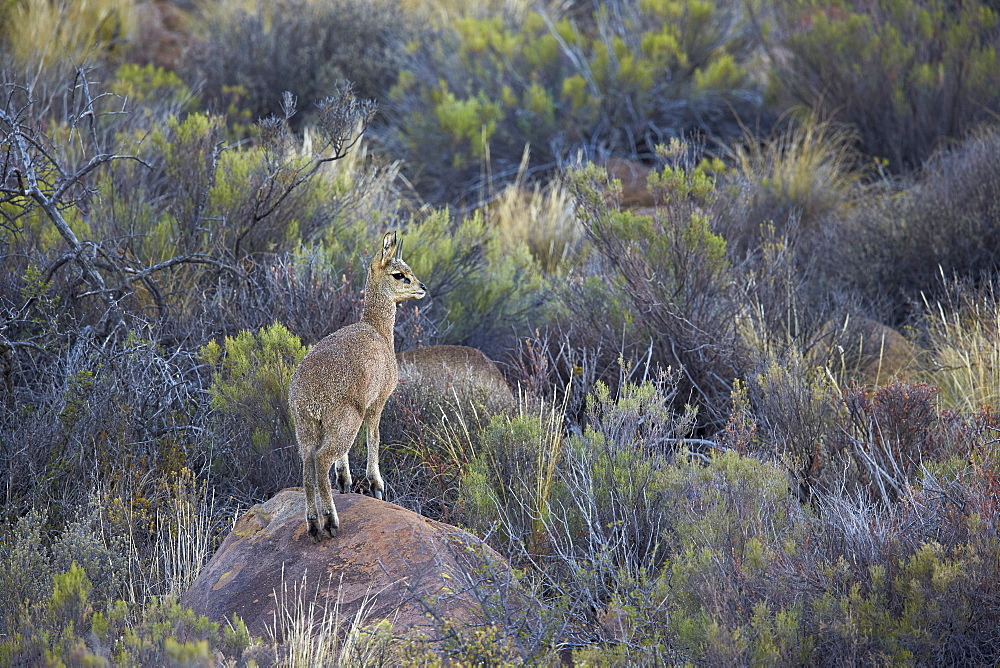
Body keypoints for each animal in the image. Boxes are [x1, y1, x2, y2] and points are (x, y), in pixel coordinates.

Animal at [290, 232, 430, 540]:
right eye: (399, 274)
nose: (422, 288)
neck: (378, 330)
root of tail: (307, 395)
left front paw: (345, 480)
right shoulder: (377, 402)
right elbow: (374, 438)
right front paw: (376, 485)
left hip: (305, 428)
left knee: (307, 464)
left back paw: (313, 524)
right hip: (345, 422)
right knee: (321, 460)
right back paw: (330, 521)